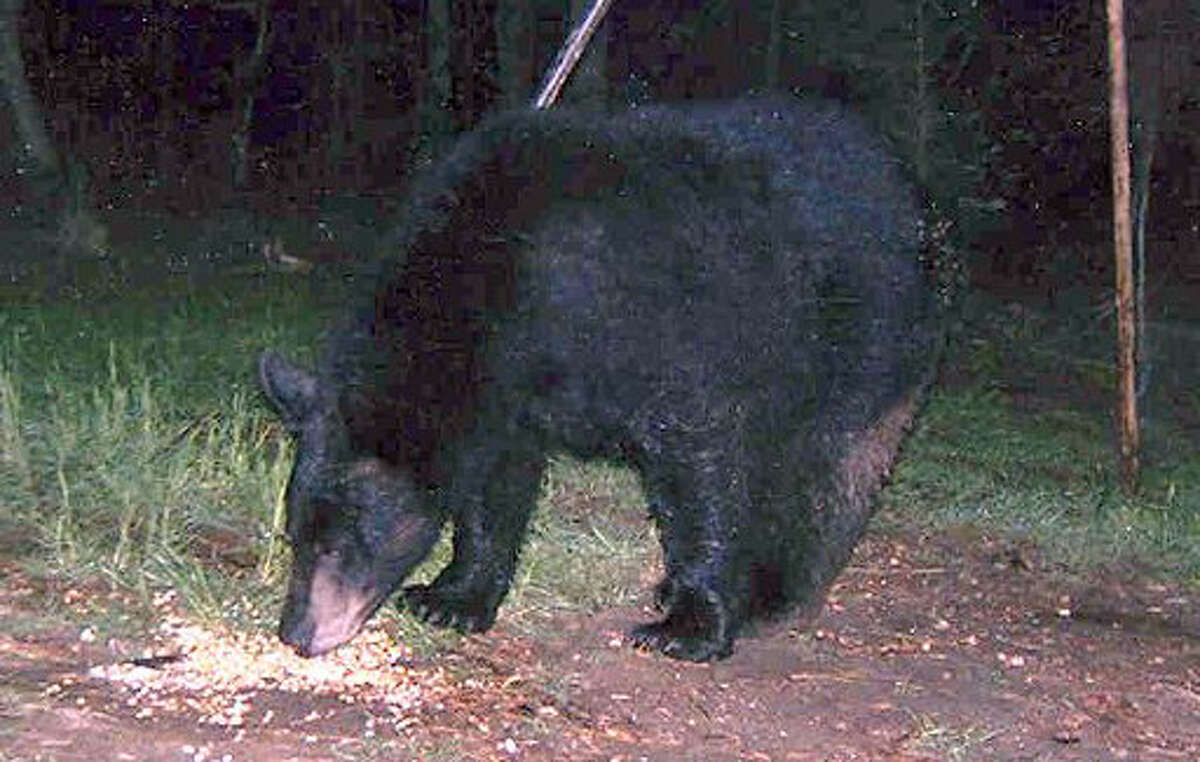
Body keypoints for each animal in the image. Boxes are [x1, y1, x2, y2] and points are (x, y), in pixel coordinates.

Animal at [259, 96, 938, 662]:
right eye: (295, 534)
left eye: (340, 544)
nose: (296, 633)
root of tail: (902, 175)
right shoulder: (509, 393)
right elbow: (495, 484)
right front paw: (452, 597)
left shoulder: (662, 340)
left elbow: (700, 469)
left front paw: (690, 628)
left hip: (861, 336)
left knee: (829, 467)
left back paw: (776, 593)